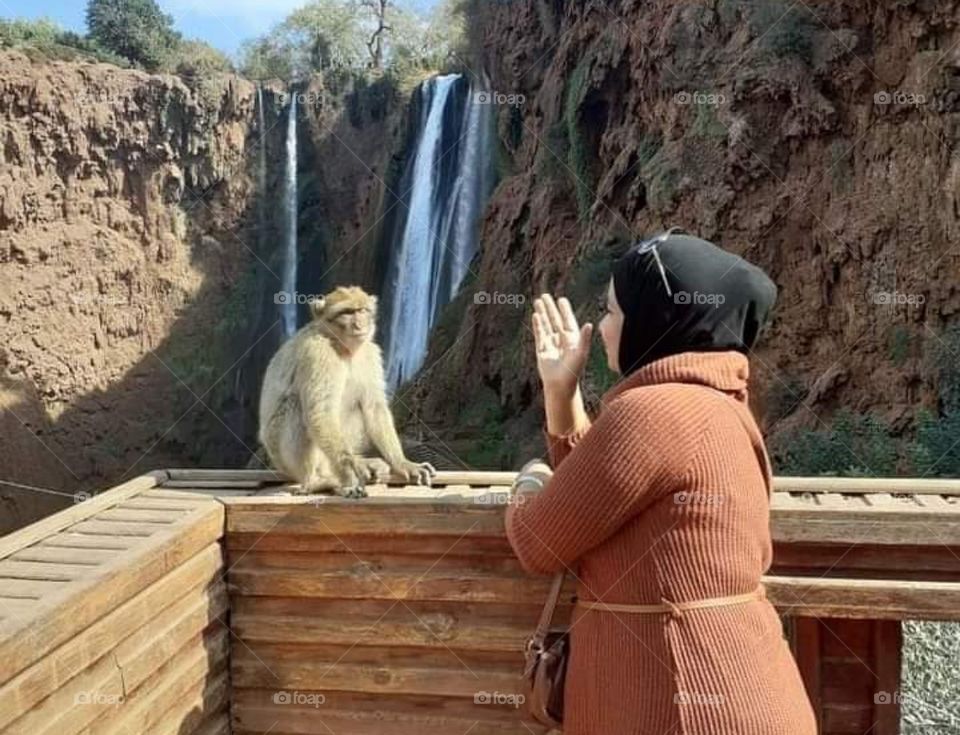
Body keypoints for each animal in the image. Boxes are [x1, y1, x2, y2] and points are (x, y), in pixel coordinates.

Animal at [257, 285, 437, 498]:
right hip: (284, 457)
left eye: (362, 310)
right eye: (347, 312)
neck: (340, 345)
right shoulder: (318, 353)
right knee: (296, 405)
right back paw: (316, 480)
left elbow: (373, 407)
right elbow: (321, 412)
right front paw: (349, 476)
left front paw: (403, 463)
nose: (360, 324)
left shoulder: (369, 352)